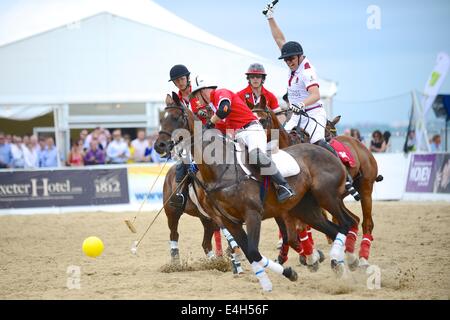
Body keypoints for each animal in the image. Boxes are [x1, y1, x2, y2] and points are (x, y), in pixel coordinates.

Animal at [156, 92, 356, 292]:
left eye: (175, 117)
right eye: (161, 118)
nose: (159, 145)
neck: (220, 169)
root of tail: (326, 150)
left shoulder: (253, 214)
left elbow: (254, 250)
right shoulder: (230, 221)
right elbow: (251, 252)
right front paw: (280, 277)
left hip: (326, 196)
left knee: (347, 223)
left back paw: (344, 265)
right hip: (305, 208)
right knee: (337, 228)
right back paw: (341, 268)